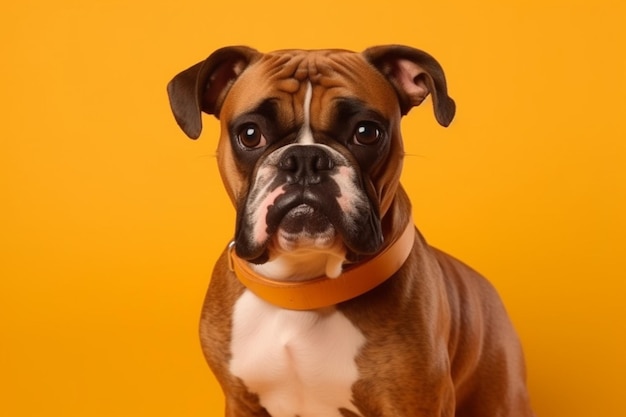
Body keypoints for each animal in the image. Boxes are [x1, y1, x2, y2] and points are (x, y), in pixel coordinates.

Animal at [166, 44, 532, 416]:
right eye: (250, 134)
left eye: (366, 133)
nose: (305, 158)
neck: (302, 287)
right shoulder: (241, 402)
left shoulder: (416, 402)